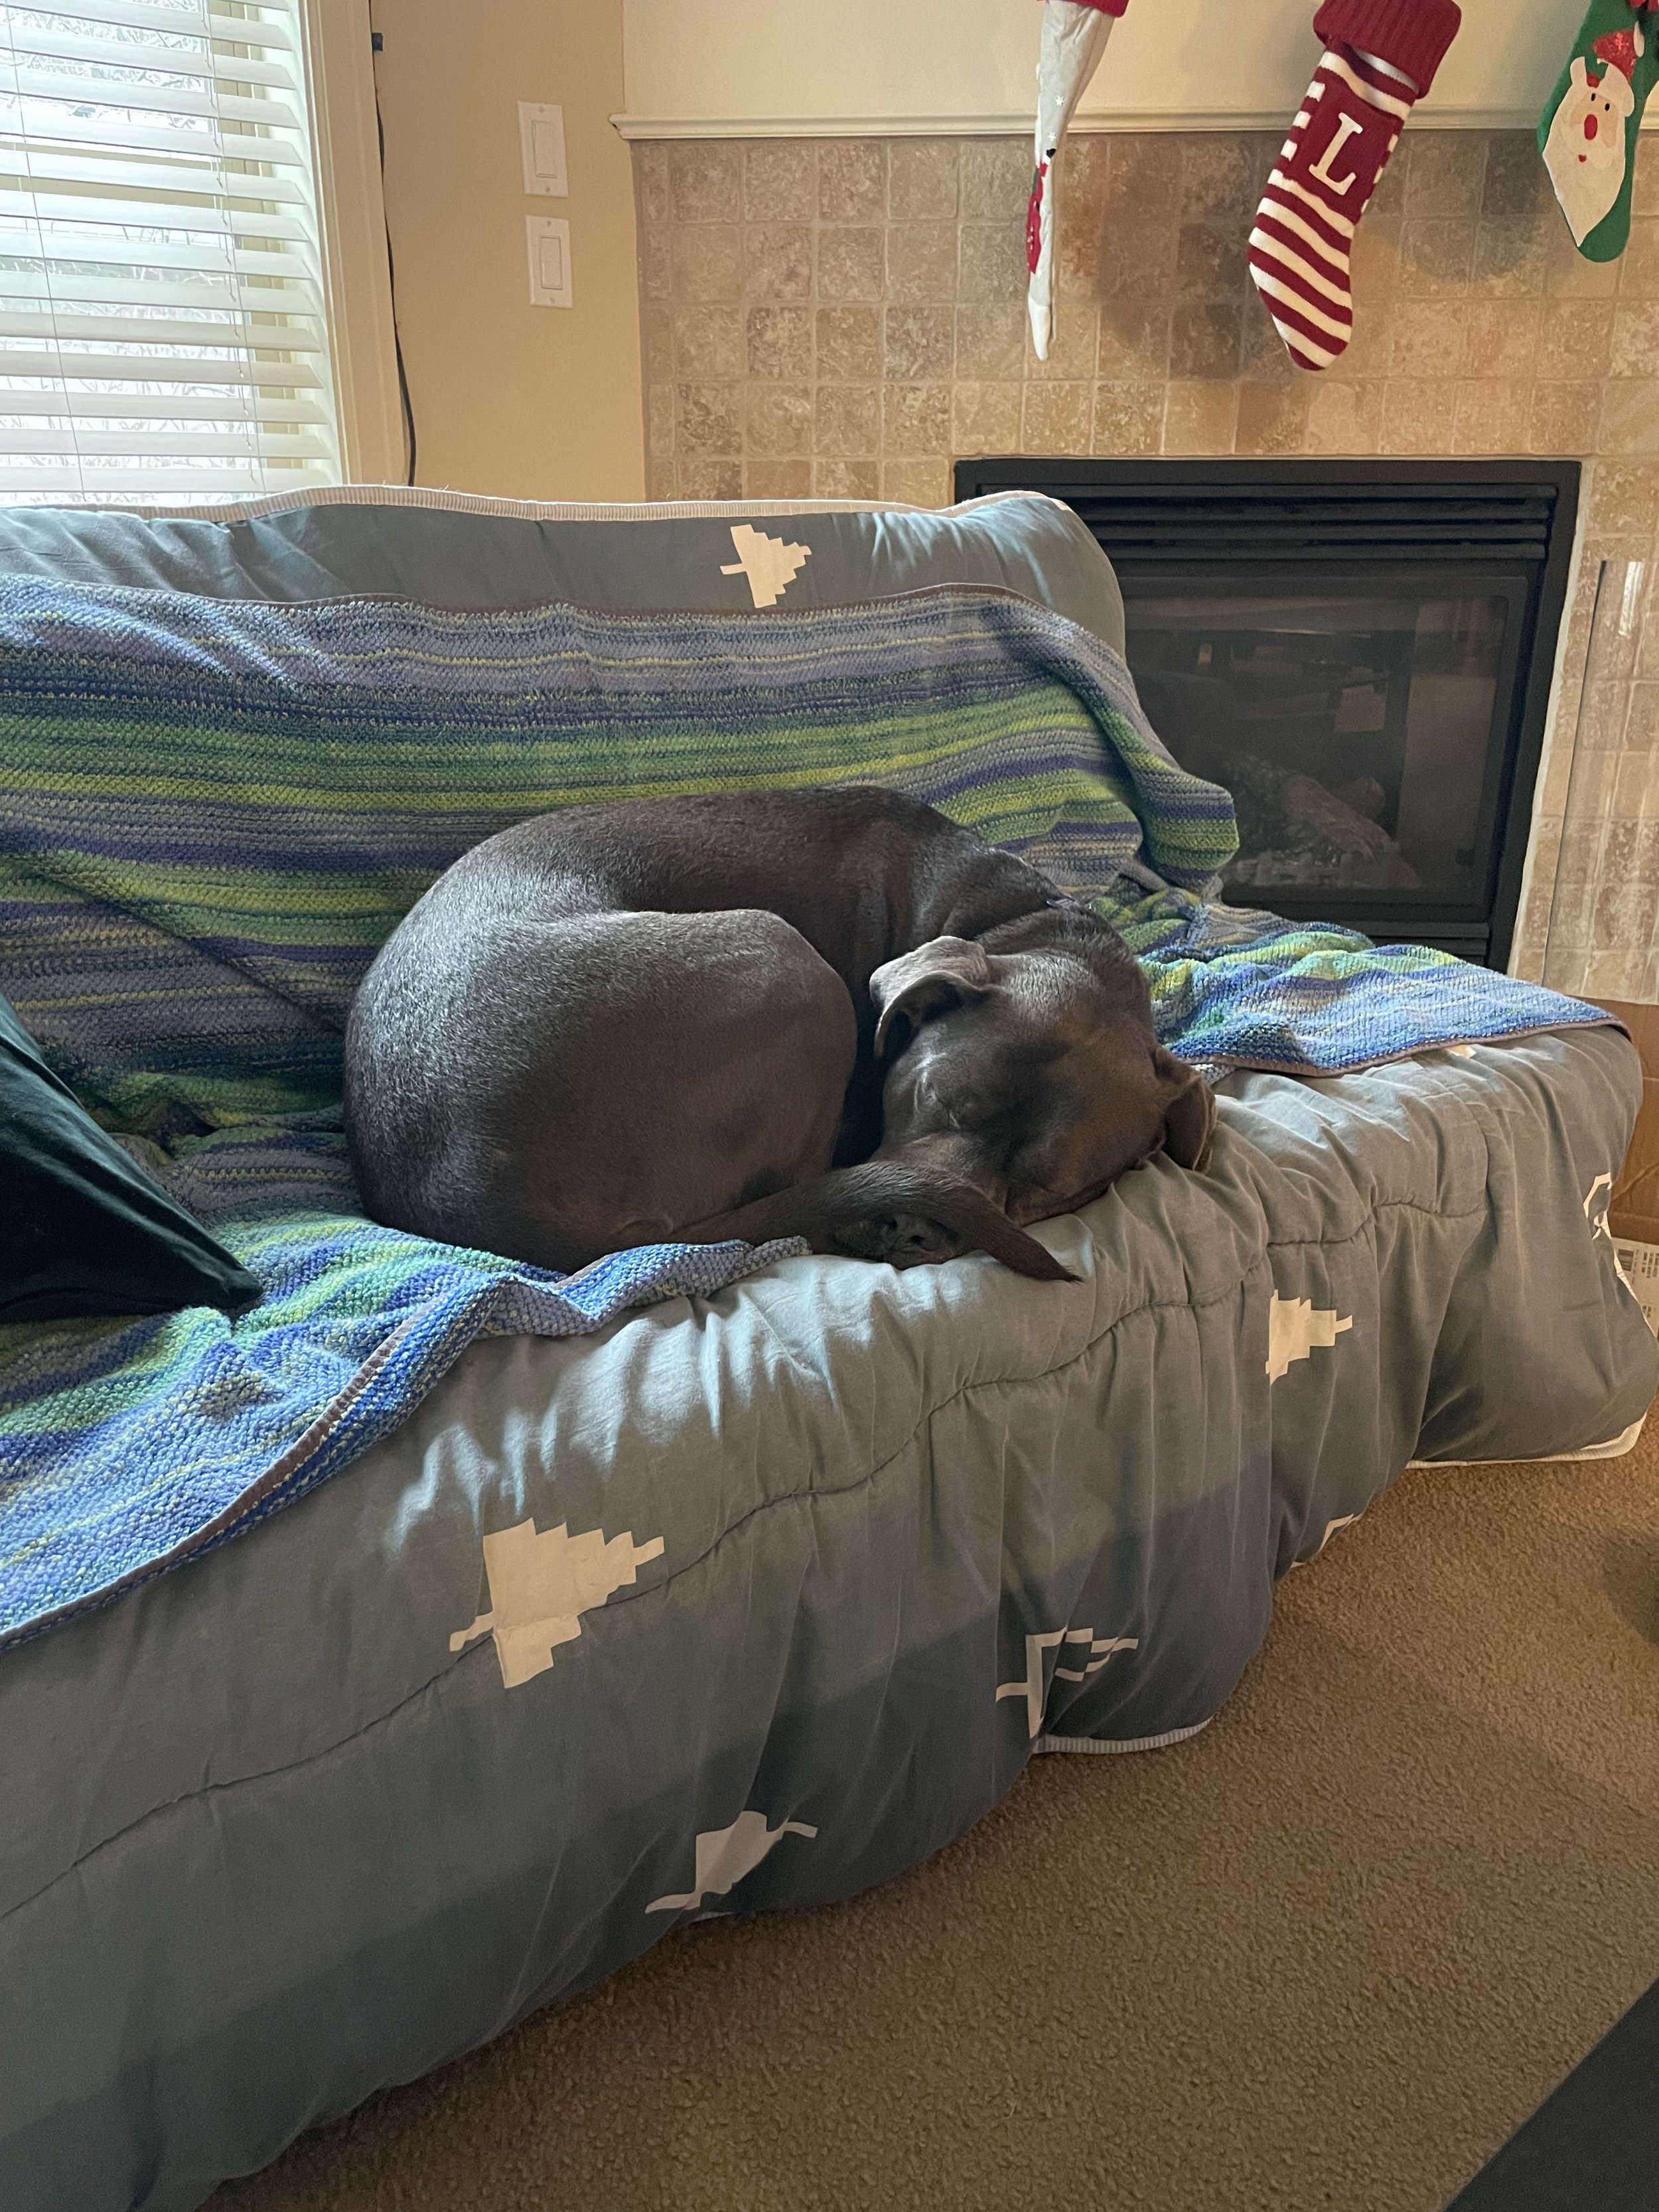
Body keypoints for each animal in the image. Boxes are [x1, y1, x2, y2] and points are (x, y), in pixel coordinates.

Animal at [343, 787, 1215, 1282]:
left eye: (1051, 1188)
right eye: (933, 1096)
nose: (911, 1228)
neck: (1016, 921)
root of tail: (473, 1199)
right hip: (784, 958)